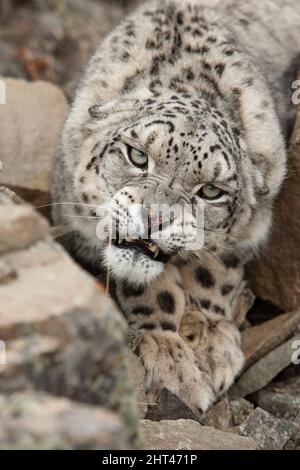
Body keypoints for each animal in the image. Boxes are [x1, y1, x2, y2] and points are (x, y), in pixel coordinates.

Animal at [51, 0, 300, 412]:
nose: (154, 218)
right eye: (137, 155)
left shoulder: (250, 229)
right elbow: (150, 286)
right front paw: (170, 356)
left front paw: (211, 344)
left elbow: (213, 270)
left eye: (211, 191)